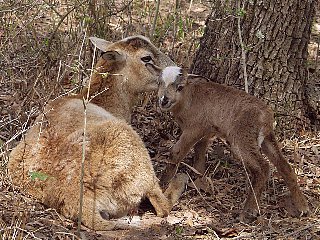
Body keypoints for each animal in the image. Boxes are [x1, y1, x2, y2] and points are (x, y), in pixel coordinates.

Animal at [6, 36, 188, 231]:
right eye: (146, 58)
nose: (178, 72)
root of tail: (77, 199)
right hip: (137, 159)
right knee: (162, 205)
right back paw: (180, 179)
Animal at [146, 64, 308, 223]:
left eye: (180, 87)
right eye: (159, 83)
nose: (164, 100)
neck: (188, 98)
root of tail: (267, 117)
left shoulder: (195, 127)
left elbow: (176, 152)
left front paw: (163, 183)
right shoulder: (206, 132)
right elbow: (199, 155)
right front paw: (200, 180)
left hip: (242, 138)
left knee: (263, 167)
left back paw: (249, 212)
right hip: (267, 138)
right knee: (284, 165)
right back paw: (302, 207)